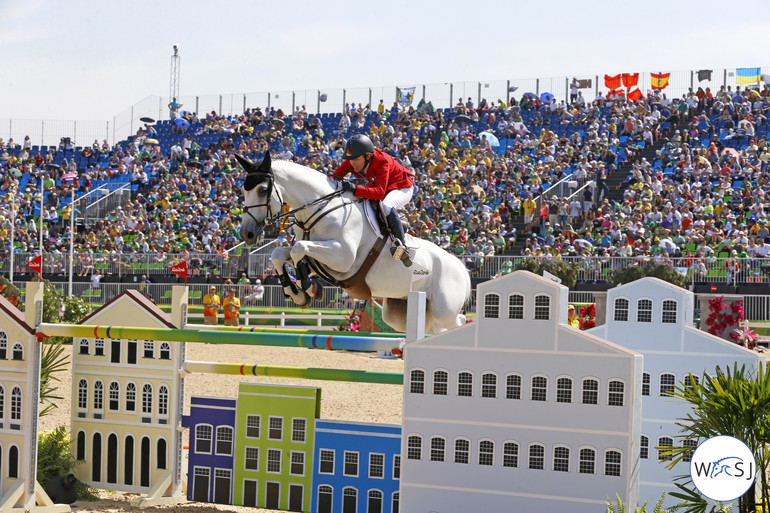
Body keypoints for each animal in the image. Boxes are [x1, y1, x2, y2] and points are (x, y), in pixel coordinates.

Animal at [237, 151, 472, 336]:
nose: (247, 234)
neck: (321, 208)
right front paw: (299, 293)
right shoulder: (321, 257)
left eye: (262, 190)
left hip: (444, 309)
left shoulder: (343, 258)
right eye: (244, 190)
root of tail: (462, 268)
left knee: (458, 322)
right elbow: (280, 254)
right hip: (401, 311)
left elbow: (298, 249)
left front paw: (308, 287)